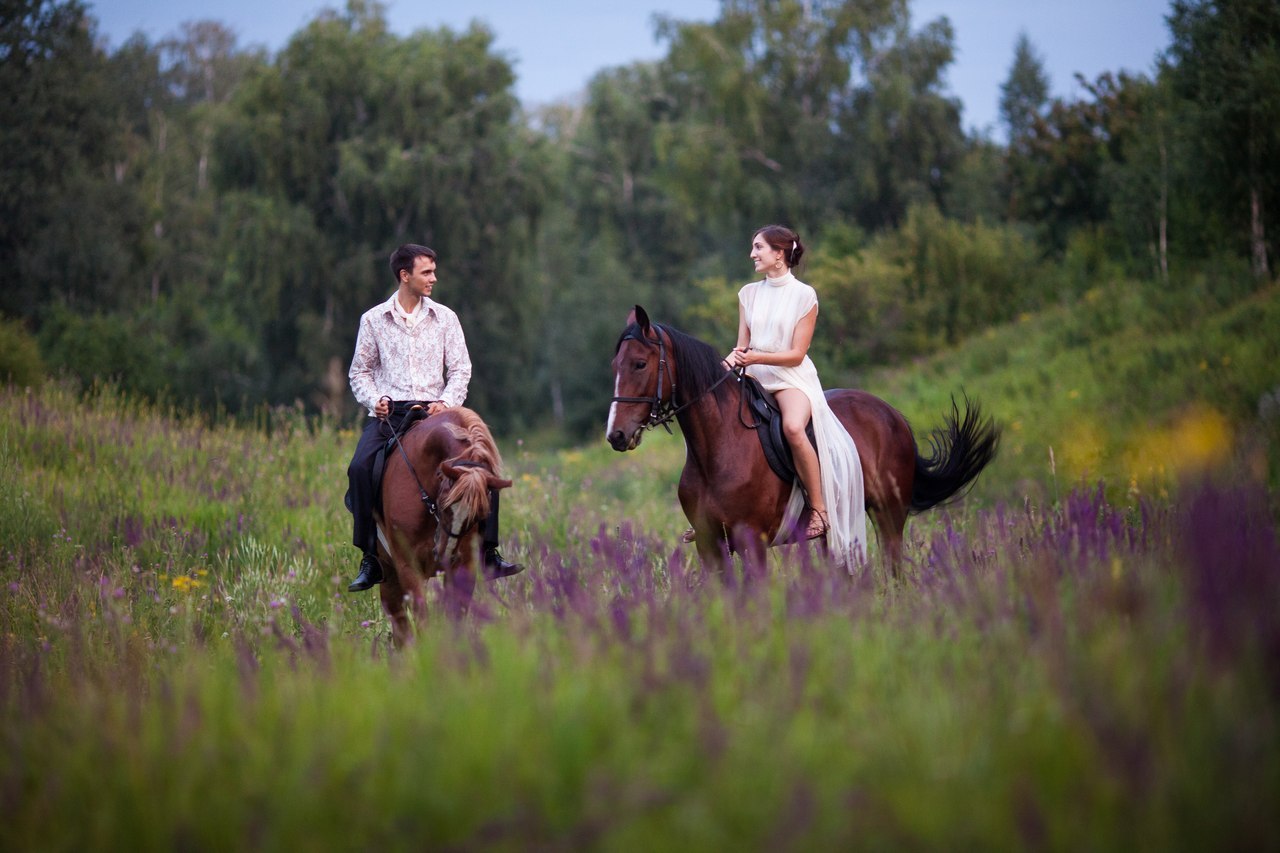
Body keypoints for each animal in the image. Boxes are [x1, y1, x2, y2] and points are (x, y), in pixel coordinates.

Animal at [373, 407, 512, 645]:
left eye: (479, 515)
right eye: (445, 504)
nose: (445, 555)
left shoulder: (464, 566)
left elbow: (455, 619)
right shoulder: (408, 567)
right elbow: (422, 624)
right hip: (389, 571)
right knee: (401, 627)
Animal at [609, 306, 998, 571]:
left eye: (640, 364)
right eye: (615, 365)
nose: (616, 435)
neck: (717, 450)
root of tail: (892, 415)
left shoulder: (752, 542)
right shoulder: (710, 545)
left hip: (889, 514)